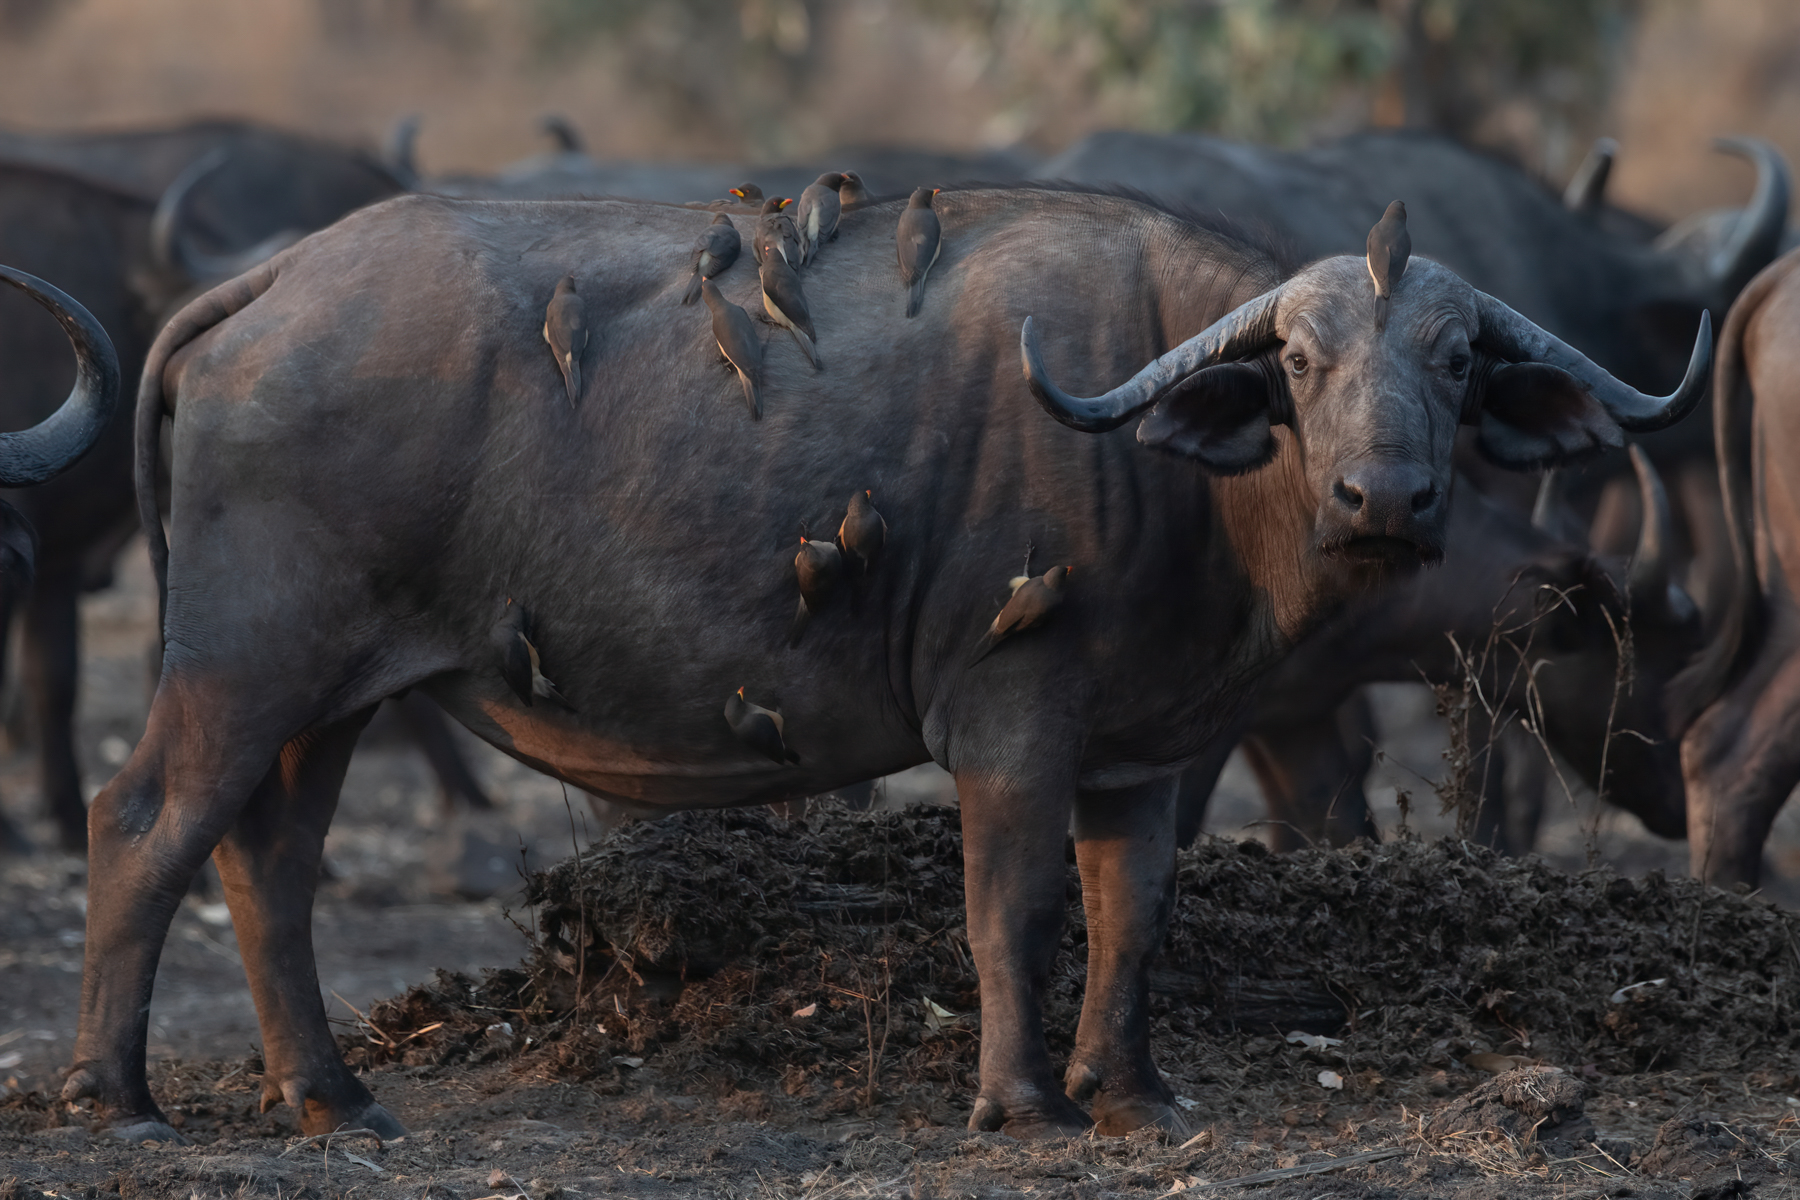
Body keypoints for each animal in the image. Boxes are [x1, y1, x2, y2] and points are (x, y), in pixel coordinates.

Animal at [67, 186, 1705, 1143]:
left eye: (1458, 362)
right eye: (1299, 362)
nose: (1387, 498)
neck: (1174, 472)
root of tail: (276, 281)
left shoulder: (1150, 751)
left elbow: (1134, 917)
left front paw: (1130, 1091)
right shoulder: (1010, 726)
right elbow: (1012, 910)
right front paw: (1021, 1103)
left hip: (328, 695)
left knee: (267, 857)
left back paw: (331, 1096)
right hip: (245, 661)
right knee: (142, 823)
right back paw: (117, 1096)